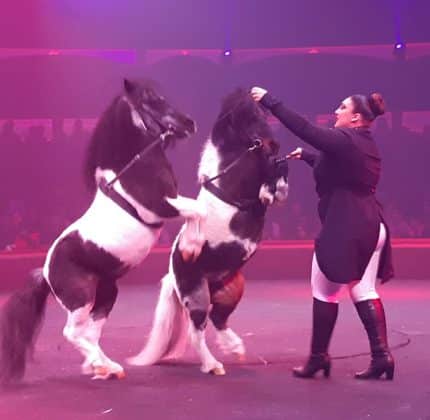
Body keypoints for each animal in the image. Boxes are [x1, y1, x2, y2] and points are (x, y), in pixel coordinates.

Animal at [0, 79, 207, 384]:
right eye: (152, 99)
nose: (190, 123)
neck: (133, 168)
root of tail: (45, 273)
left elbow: (199, 210)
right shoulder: (162, 206)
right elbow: (199, 210)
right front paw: (193, 246)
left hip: (106, 293)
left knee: (90, 333)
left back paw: (103, 367)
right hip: (82, 296)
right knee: (73, 333)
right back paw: (104, 366)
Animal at [127, 88, 288, 374]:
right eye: (249, 115)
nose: (272, 141)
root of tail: (174, 274)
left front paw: (276, 187)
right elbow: (267, 184)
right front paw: (271, 190)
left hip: (232, 290)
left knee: (218, 318)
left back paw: (235, 348)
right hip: (198, 296)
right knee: (197, 330)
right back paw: (213, 365)